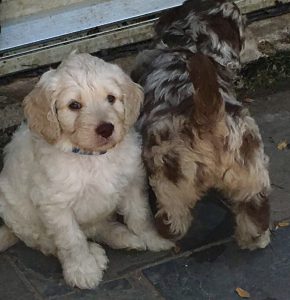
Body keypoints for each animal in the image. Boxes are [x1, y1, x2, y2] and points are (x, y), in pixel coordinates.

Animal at [0, 52, 172, 290]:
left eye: (111, 98)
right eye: (74, 105)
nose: (106, 129)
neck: (93, 157)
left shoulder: (133, 182)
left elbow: (140, 215)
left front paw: (153, 239)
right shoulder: (56, 205)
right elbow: (72, 241)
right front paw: (83, 271)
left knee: (100, 227)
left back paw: (125, 237)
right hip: (18, 216)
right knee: (48, 242)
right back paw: (96, 253)